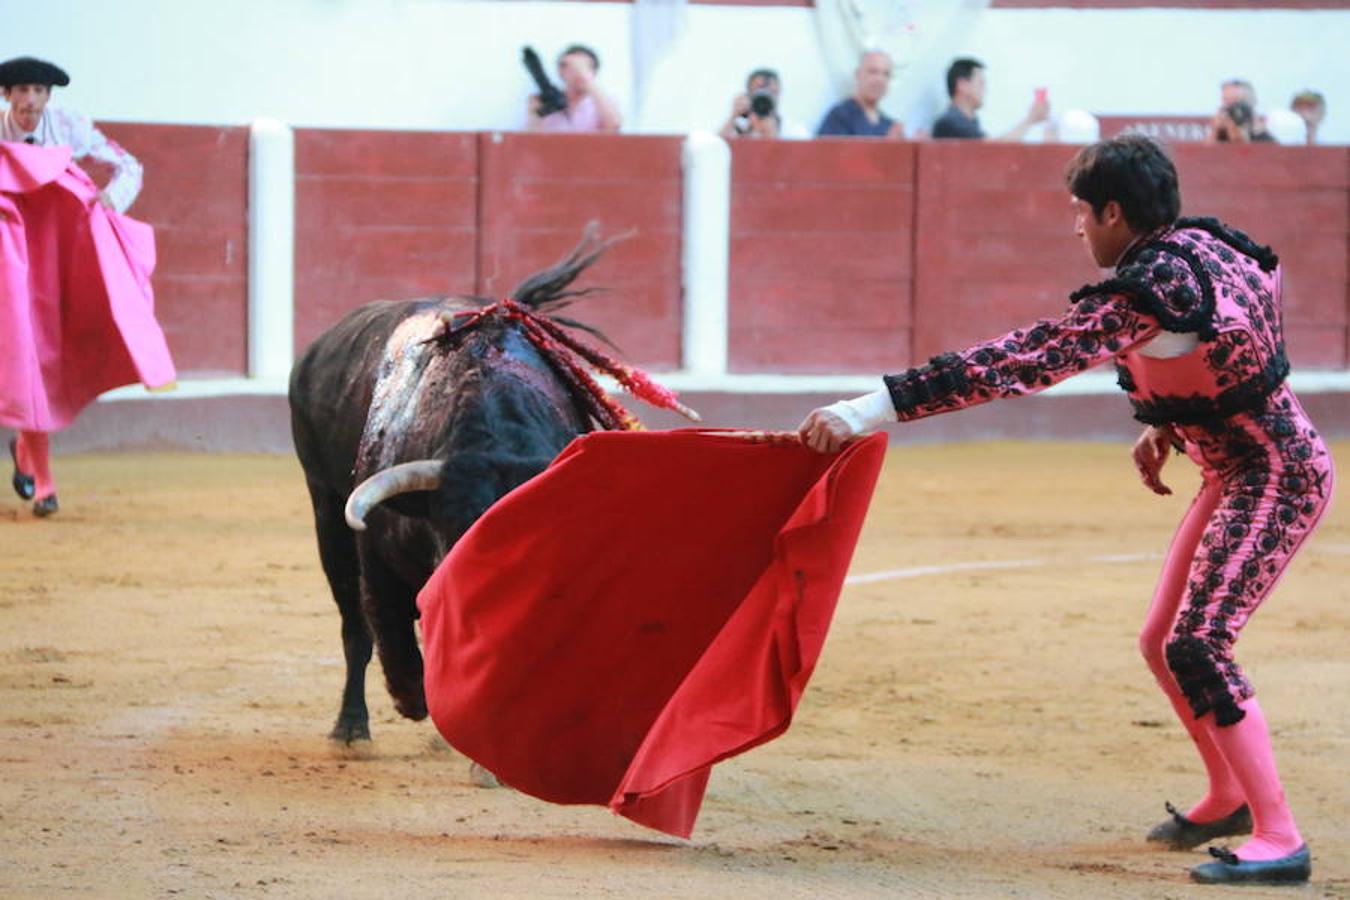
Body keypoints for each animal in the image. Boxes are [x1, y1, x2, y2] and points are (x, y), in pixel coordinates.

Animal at [292, 236, 618, 744]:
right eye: (459, 530)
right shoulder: (377, 558)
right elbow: (389, 634)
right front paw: (413, 700)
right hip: (326, 510)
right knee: (354, 626)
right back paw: (351, 727)